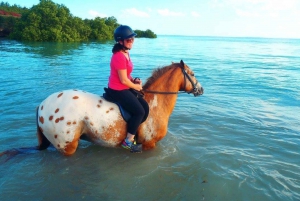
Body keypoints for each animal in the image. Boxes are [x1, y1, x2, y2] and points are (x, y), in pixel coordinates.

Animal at [0, 59, 204, 159]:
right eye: (193, 74)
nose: (201, 89)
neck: (155, 102)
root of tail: (41, 105)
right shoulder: (149, 145)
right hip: (67, 146)